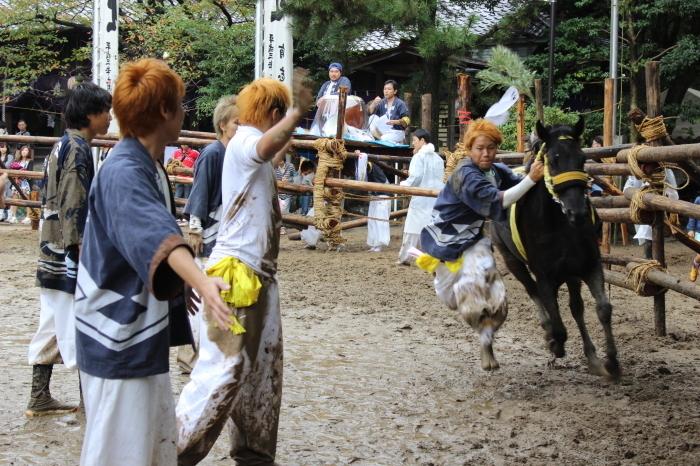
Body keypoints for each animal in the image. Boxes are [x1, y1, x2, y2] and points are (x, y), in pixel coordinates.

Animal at [490, 118, 620, 380]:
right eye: (553, 159)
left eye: (582, 158)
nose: (577, 212)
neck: (560, 227)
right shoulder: (544, 275)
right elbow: (558, 323)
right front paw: (555, 342)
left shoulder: (588, 266)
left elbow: (602, 308)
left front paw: (610, 360)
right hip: (512, 260)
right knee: (532, 291)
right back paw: (549, 331)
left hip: (570, 273)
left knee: (576, 307)